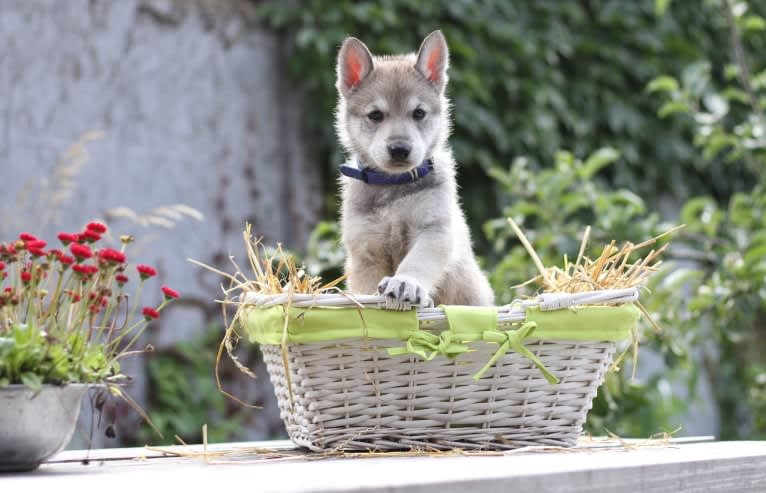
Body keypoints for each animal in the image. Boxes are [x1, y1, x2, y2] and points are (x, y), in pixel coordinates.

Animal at [338, 29, 496, 308]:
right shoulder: (366, 251)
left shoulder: (433, 231)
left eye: (419, 113)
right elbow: (366, 287)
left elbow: (416, 263)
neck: (393, 187)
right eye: (375, 115)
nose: (399, 149)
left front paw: (405, 283)